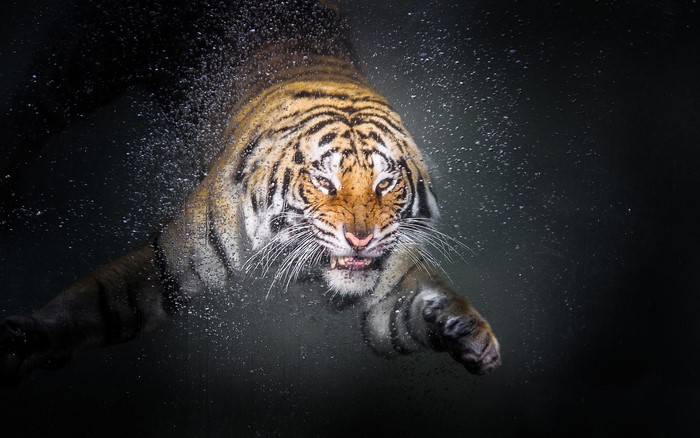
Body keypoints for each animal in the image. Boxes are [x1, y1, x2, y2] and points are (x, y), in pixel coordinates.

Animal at [0, 0, 500, 386]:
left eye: (385, 183)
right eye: (325, 181)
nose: (361, 239)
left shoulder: (391, 286)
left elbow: (416, 306)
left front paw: (470, 335)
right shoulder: (173, 259)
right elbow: (99, 300)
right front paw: (29, 338)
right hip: (79, 63)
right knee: (28, 114)